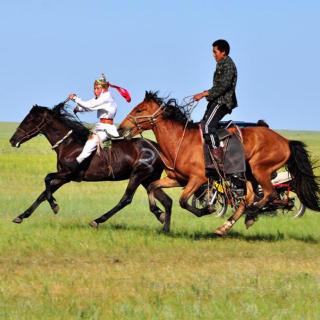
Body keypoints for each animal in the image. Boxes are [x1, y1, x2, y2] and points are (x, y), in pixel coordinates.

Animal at [9, 102, 172, 230]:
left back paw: (97, 221)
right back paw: (162, 219)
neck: (68, 145)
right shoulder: (63, 177)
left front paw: (55, 206)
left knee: (126, 199)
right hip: (148, 179)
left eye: (29, 120)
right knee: (166, 200)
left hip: (138, 174)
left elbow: (47, 178)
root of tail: (159, 148)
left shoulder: (68, 173)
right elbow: (43, 193)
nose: (12, 140)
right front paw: (21, 216)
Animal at [118, 91, 320, 236]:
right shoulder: (178, 179)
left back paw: (251, 214)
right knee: (248, 198)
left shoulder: (197, 179)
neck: (180, 141)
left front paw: (206, 209)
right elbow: (153, 187)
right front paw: (159, 213)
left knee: (268, 194)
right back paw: (225, 227)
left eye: (139, 110)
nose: (121, 128)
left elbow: (184, 201)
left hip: (259, 170)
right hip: (248, 174)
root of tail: (286, 141)